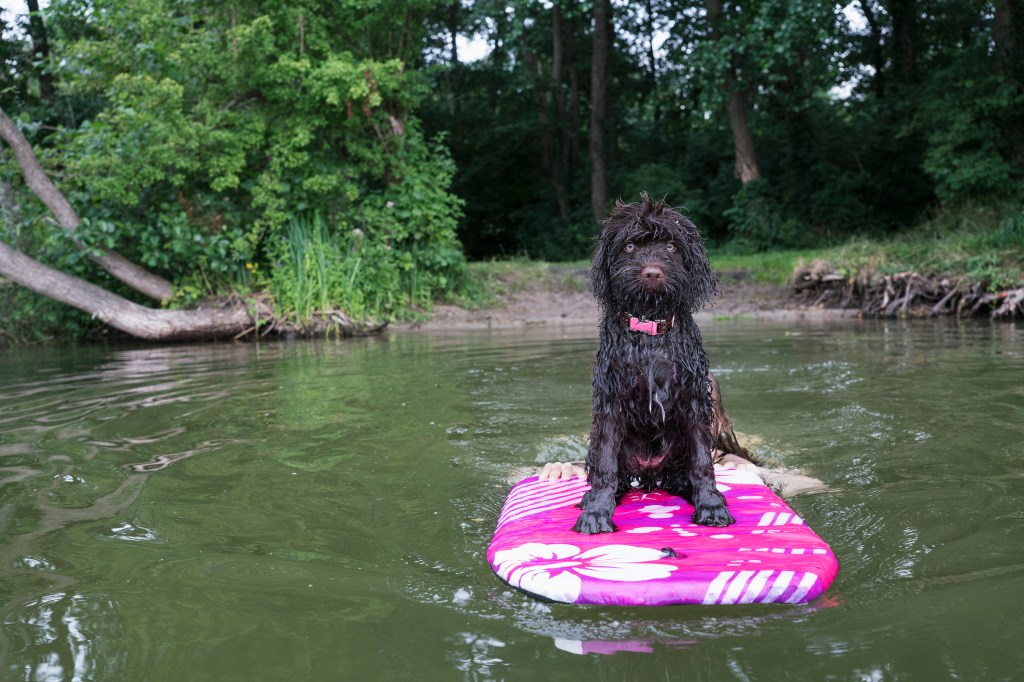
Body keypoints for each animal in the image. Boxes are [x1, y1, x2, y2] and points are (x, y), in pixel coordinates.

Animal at [573, 191, 733, 532]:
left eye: (671, 246)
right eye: (630, 246)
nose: (652, 273)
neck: (649, 330)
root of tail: (649, 473)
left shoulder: (694, 398)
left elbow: (702, 462)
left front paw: (710, 505)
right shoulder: (610, 401)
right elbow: (606, 464)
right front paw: (596, 512)